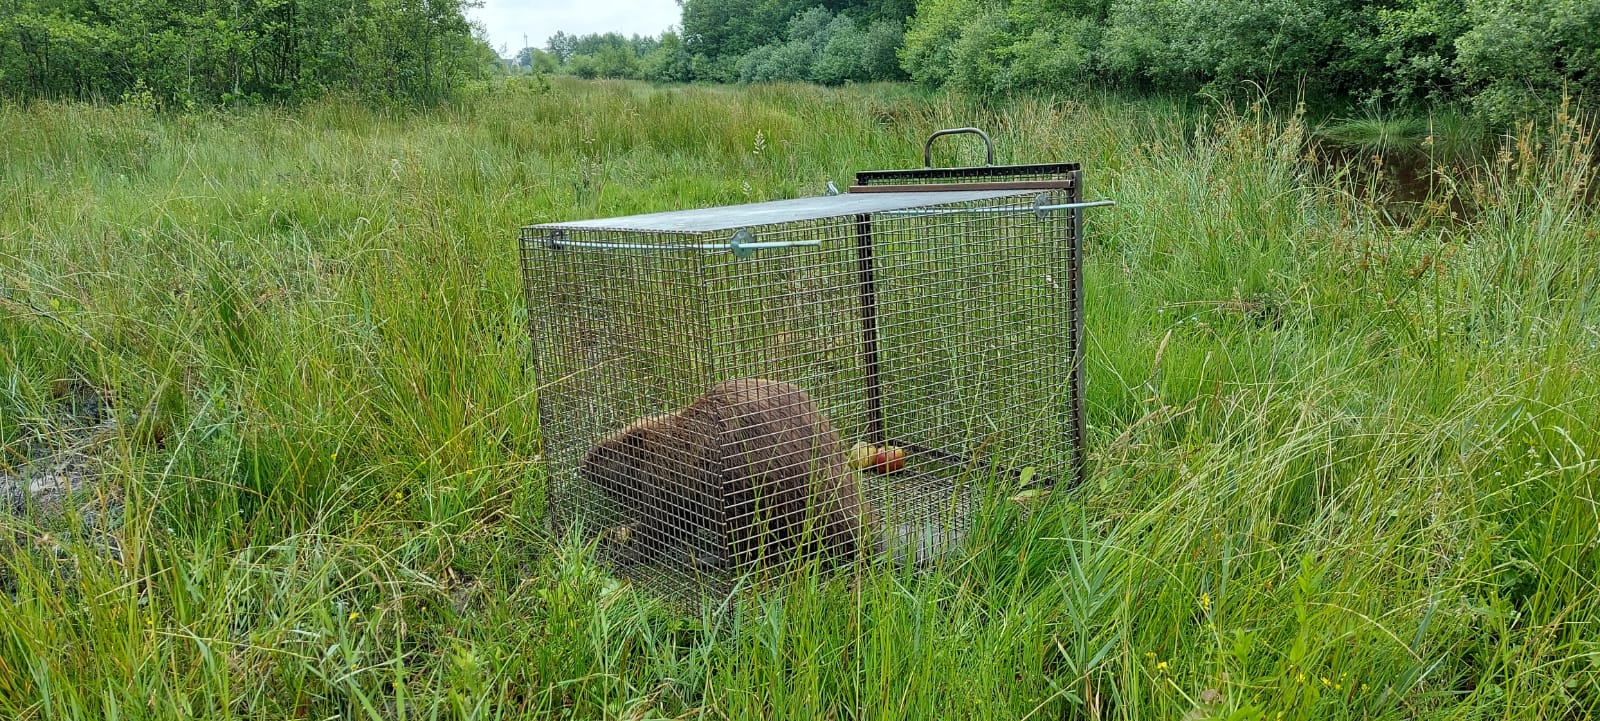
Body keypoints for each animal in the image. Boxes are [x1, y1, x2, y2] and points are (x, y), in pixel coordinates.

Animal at [579, 380, 876, 572]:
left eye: (604, 451)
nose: (583, 466)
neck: (672, 445)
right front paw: (615, 535)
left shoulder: (666, 484)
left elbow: (660, 526)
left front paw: (623, 554)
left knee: (749, 546)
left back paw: (705, 561)